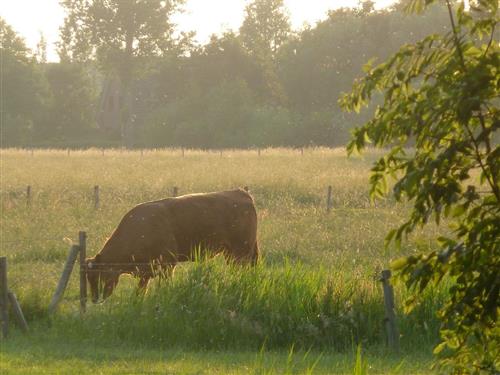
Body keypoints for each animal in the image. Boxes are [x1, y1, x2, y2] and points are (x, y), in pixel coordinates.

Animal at [85, 189, 260, 304]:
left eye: (98, 275)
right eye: (88, 278)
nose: (94, 299)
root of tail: (241, 192)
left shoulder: (167, 265)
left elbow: (164, 287)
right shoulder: (146, 272)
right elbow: (139, 292)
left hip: (241, 252)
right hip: (232, 253)